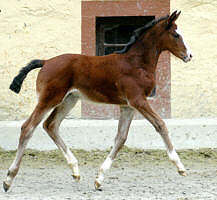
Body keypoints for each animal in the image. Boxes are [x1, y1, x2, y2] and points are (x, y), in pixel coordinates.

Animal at [3, 10, 192, 191]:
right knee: (28, 127)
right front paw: (180, 167)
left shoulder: (127, 106)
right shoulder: (138, 100)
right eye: (176, 35)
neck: (136, 63)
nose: (189, 55)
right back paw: (9, 179)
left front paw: (99, 179)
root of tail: (46, 61)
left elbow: (121, 138)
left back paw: (75, 169)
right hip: (49, 99)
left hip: (69, 100)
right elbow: (160, 125)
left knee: (50, 125)